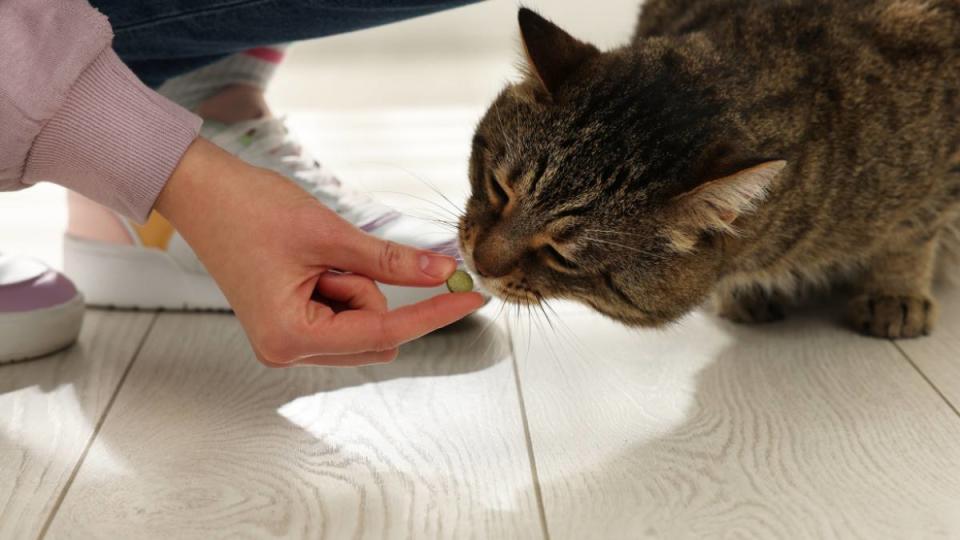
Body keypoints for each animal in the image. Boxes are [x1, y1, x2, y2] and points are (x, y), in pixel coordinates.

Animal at [460, 0, 960, 338]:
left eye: (561, 256)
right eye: (499, 189)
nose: (478, 262)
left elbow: (912, 233)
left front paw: (895, 291)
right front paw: (746, 291)